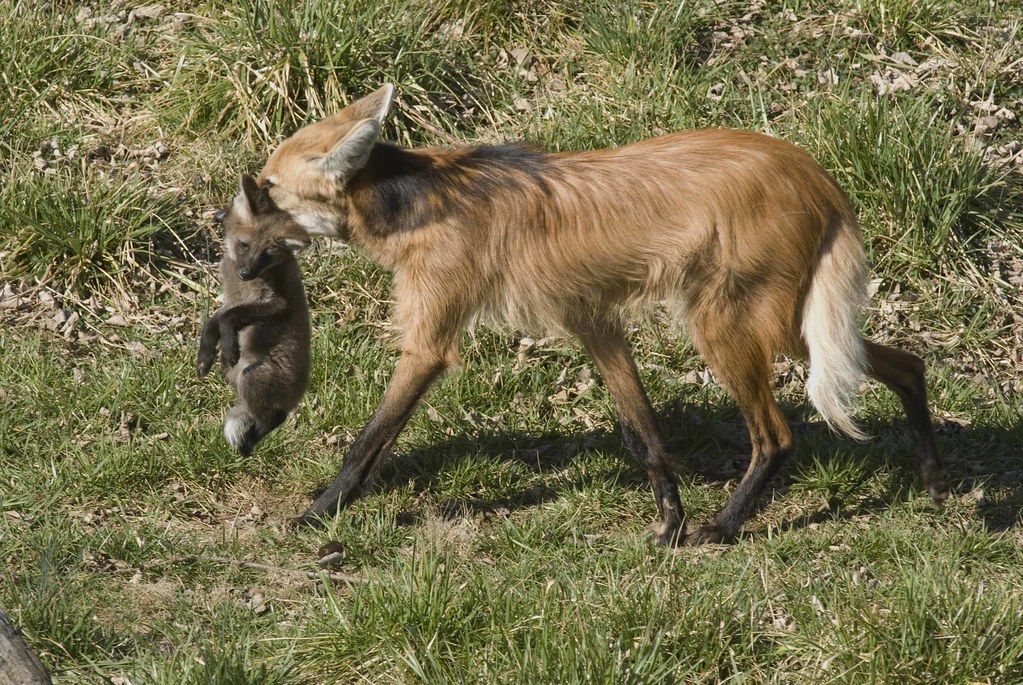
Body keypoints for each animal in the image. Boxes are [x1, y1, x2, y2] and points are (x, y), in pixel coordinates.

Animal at [196, 174, 310, 458]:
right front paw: (205, 358)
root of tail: (300, 392)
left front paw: (229, 348)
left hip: (252, 377)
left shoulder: (276, 304)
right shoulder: (230, 301)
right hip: (235, 378)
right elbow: (213, 323)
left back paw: (249, 442)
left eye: (267, 255)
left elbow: (229, 320)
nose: (246, 273)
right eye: (244, 245)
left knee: (276, 417)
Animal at [251, 84, 945, 548]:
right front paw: (669, 520)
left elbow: (369, 440)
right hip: (792, 325)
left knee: (776, 436)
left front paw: (317, 513)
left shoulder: (430, 343)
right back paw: (934, 479)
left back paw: (723, 527)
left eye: (268, 188)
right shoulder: (595, 324)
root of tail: (814, 173)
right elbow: (646, 436)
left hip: (730, 323)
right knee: (905, 363)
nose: (236, 210)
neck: (416, 204)